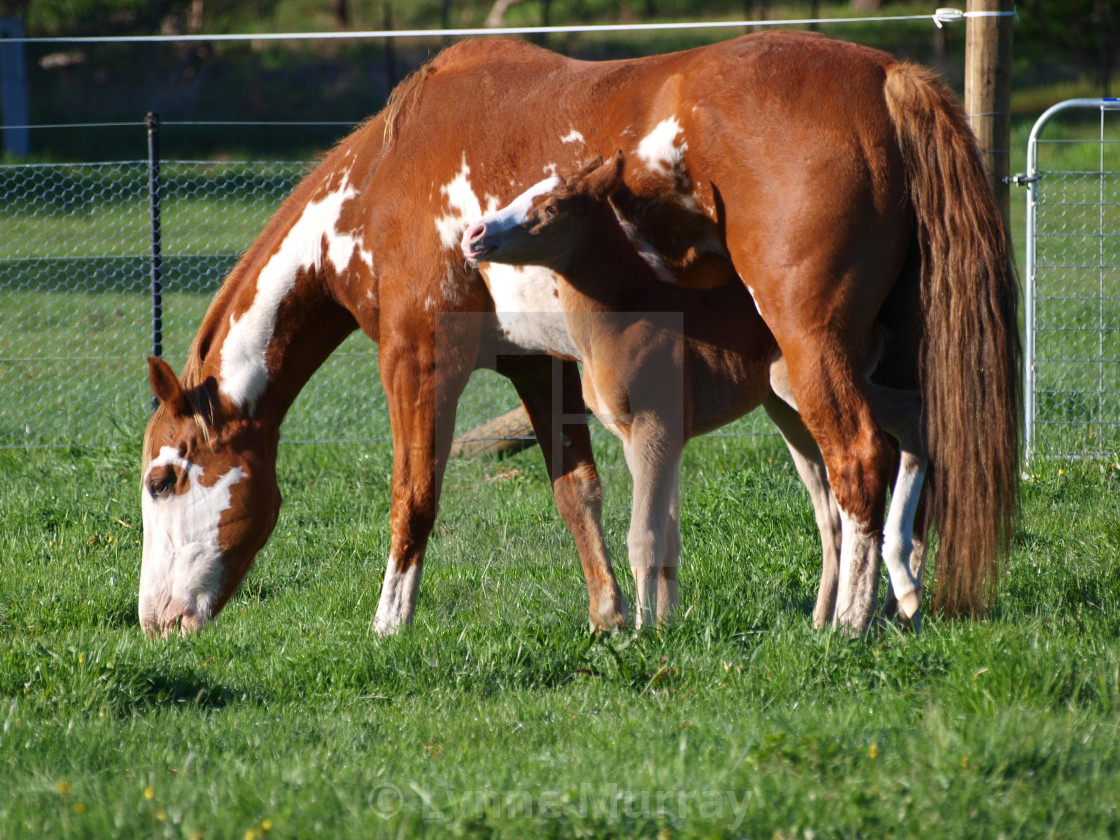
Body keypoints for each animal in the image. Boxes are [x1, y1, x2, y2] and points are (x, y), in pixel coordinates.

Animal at [459, 156, 922, 631]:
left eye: (551, 207)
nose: (474, 236)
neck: (620, 321)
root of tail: (871, 320)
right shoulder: (637, 438)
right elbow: (668, 534)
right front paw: (668, 623)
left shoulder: (655, 427)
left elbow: (643, 536)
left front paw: (642, 631)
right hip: (786, 409)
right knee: (834, 508)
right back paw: (830, 616)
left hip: (804, 384)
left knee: (904, 418)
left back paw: (888, 595)